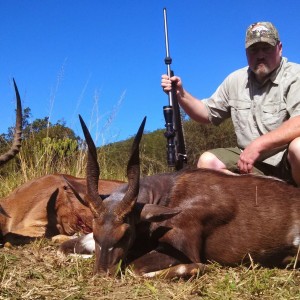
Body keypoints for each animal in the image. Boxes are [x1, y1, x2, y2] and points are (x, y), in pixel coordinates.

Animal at [58, 116, 300, 278]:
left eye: (125, 233)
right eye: (95, 230)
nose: (102, 273)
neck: (170, 193)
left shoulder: (183, 248)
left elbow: (136, 267)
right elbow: (63, 249)